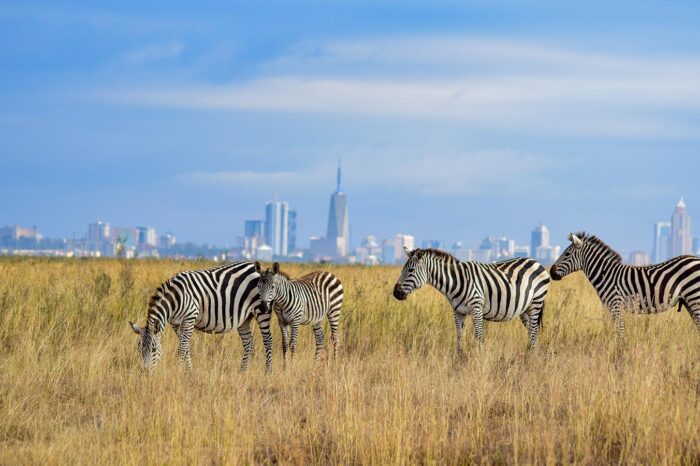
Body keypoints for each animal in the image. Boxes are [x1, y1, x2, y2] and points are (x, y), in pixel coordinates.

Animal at [128, 261, 273, 372]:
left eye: (153, 349)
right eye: (139, 350)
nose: (146, 373)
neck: (175, 298)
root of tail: (254, 266)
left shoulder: (190, 317)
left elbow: (182, 348)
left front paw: (178, 371)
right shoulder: (175, 323)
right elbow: (186, 348)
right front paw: (189, 373)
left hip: (261, 311)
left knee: (268, 340)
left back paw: (268, 372)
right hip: (244, 318)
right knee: (249, 342)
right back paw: (242, 371)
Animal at [393, 247, 550, 354]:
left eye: (411, 270)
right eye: (402, 269)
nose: (395, 293)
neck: (455, 282)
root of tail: (536, 262)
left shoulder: (476, 308)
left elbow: (479, 336)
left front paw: (480, 358)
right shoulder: (458, 311)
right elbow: (459, 336)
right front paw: (459, 358)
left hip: (536, 302)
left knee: (534, 331)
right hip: (525, 309)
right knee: (531, 332)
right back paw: (529, 354)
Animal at [550, 232, 700, 338]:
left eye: (567, 254)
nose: (551, 272)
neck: (606, 275)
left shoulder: (615, 305)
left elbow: (620, 332)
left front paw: (620, 353)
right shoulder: (612, 307)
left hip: (694, 297)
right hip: (689, 301)